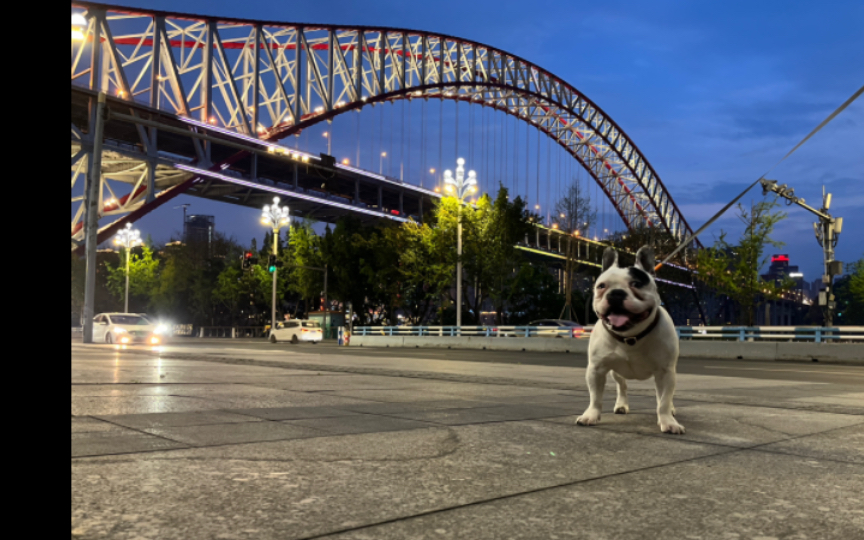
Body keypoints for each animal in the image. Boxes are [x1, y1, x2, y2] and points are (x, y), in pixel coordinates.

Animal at [576, 246, 684, 434]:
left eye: (636, 284)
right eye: (601, 286)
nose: (616, 293)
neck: (630, 337)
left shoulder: (665, 372)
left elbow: (663, 400)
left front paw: (668, 421)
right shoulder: (596, 370)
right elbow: (595, 397)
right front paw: (590, 415)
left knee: (663, 395)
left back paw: (670, 409)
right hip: (616, 372)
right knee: (622, 386)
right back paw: (621, 405)